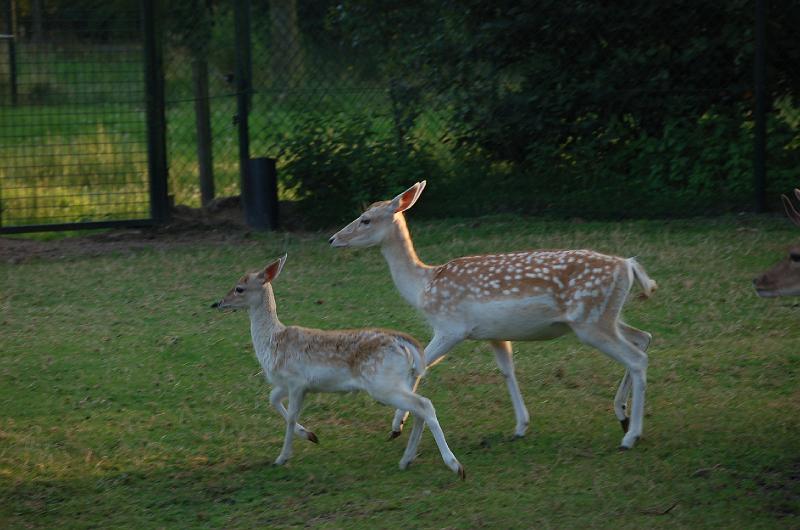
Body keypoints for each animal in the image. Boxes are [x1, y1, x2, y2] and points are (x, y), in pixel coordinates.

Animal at [209, 254, 466, 476]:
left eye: (239, 288)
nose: (218, 303)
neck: (273, 342)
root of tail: (404, 343)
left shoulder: (296, 381)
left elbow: (290, 416)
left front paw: (282, 457)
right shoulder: (289, 383)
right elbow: (272, 399)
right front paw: (310, 435)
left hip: (382, 383)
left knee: (424, 405)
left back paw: (455, 466)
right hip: (395, 382)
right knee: (418, 408)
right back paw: (406, 460)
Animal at [330, 183, 656, 450]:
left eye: (366, 219)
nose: (334, 239)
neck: (424, 287)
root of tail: (628, 266)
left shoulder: (451, 327)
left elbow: (417, 368)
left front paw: (397, 426)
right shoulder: (494, 334)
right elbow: (507, 370)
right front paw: (521, 425)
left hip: (591, 320)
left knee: (637, 358)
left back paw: (631, 436)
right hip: (604, 316)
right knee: (643, 338)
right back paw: (622, 414)